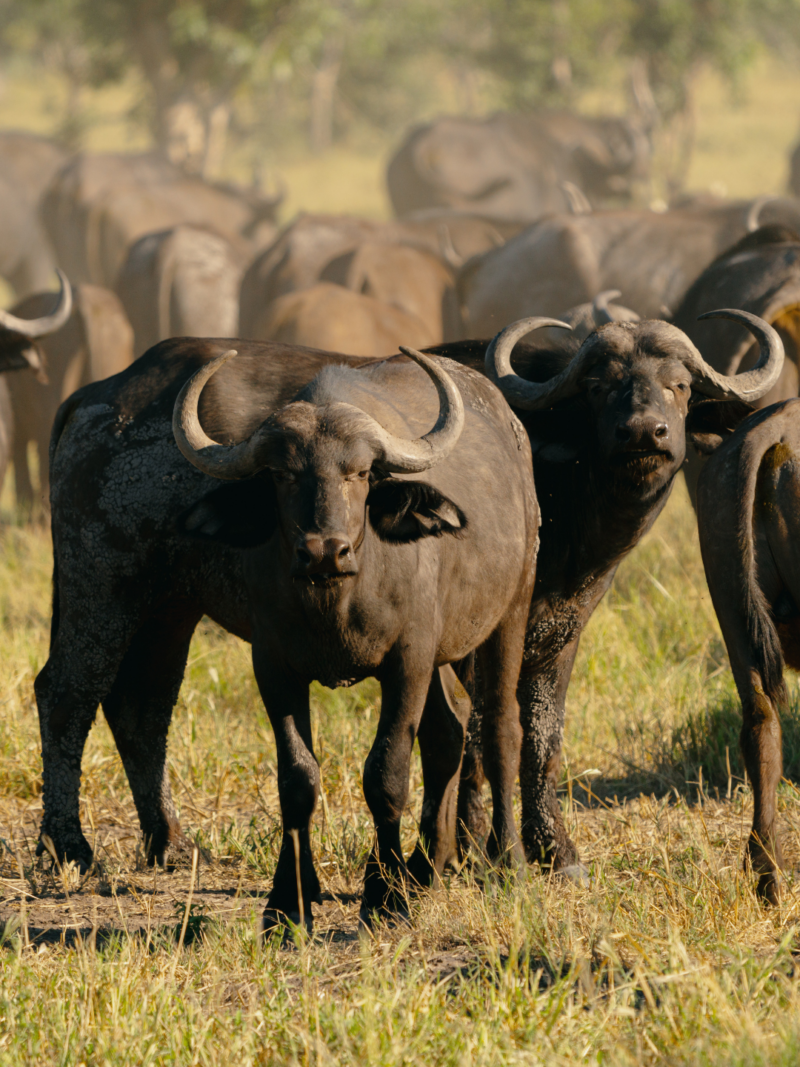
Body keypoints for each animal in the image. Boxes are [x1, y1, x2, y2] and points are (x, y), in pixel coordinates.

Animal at [35, 338, 538, 931]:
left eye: (361, 472)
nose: (324, 550)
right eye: (280, 473)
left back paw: (501, 863)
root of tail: (91, 399)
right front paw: (289, 901)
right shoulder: (274, 665)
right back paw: (76, 847)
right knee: (74, 695)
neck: (334, 598)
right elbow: (297, 778)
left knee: (492, 727)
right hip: (109, 587)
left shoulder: (409, 660)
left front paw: (384, 896)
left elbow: (387, 772)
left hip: (510, 611)